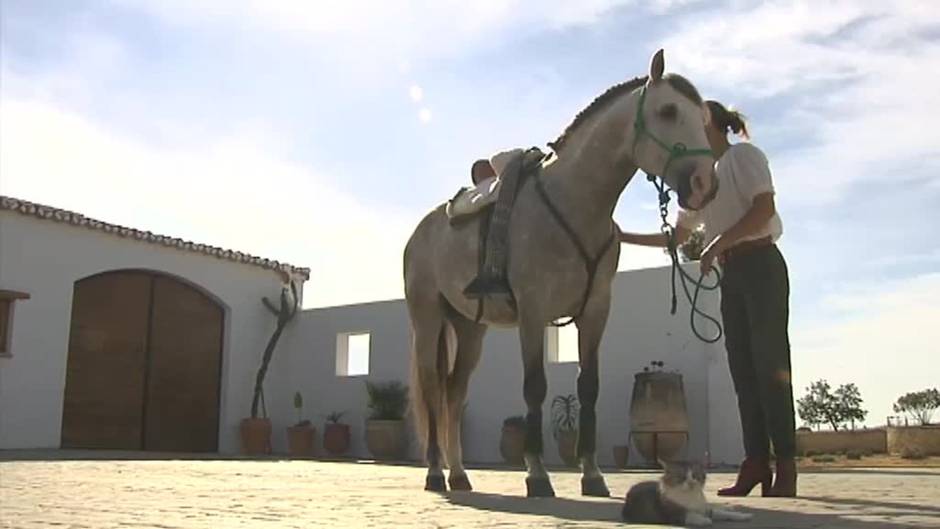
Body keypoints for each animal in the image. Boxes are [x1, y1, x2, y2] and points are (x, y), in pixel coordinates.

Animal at [408, 48, 716, 496]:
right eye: (669, 110)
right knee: (433, 388)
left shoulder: (595, 312)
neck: (574, 202)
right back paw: (435, 472)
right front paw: (537, 475)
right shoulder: (533, 311)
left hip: (470, 329)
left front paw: (592, 474)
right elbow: (535, 386)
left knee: (454, 392)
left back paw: (460, 475)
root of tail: (421, 230)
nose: (704, 183)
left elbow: (588, 387)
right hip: (428, 319)